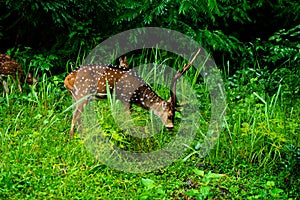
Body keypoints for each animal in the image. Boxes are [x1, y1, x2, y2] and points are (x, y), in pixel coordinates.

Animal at [65, 50, 200, 137]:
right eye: (170, 115)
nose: (171, 127)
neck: (139, 96)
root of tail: (67, 78)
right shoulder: (125, 98)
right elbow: (127, 119)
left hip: (77, 96)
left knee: (77, 115)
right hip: (83, 93)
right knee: (75, 115)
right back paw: (73, 138)